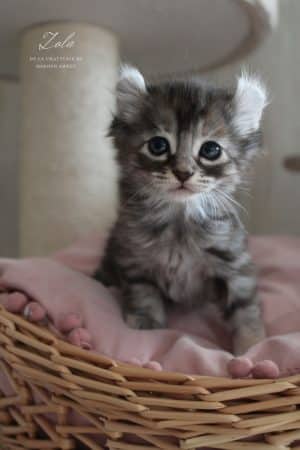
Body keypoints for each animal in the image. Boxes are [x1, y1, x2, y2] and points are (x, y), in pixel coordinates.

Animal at [94, 66, 268, 356]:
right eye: (158, 146)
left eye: (211, 150)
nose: (183, 172)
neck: (180, 220)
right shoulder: (134, 259)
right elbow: (143, 293)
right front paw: (146, 323)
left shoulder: (235, 264)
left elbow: (244, 308)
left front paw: (253, 347)